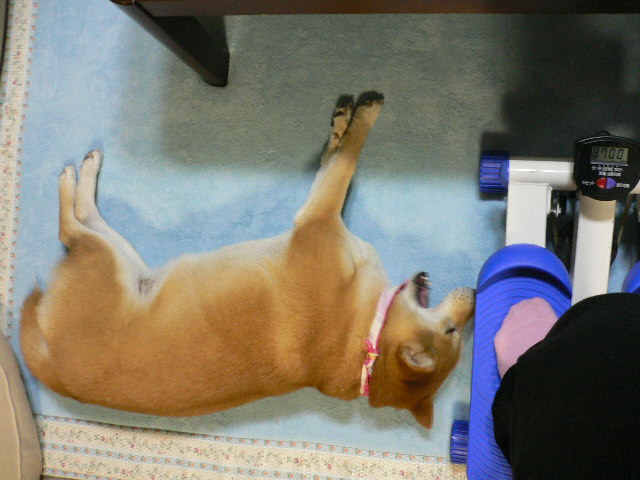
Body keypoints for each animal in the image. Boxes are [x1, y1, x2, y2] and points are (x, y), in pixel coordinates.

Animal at [21, 94, 475, 428]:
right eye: (453, 331)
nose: (474, 291)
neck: (367, 339)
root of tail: (49, 365)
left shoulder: (319, 220)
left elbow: (347, 160)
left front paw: (364, 116)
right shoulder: (323, 217)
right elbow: (339, 160)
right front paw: (341, 125)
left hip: (107, 260)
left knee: (70, 229)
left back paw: (74, 177)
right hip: (125, 258)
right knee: (85, 218)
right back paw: (86, 170)